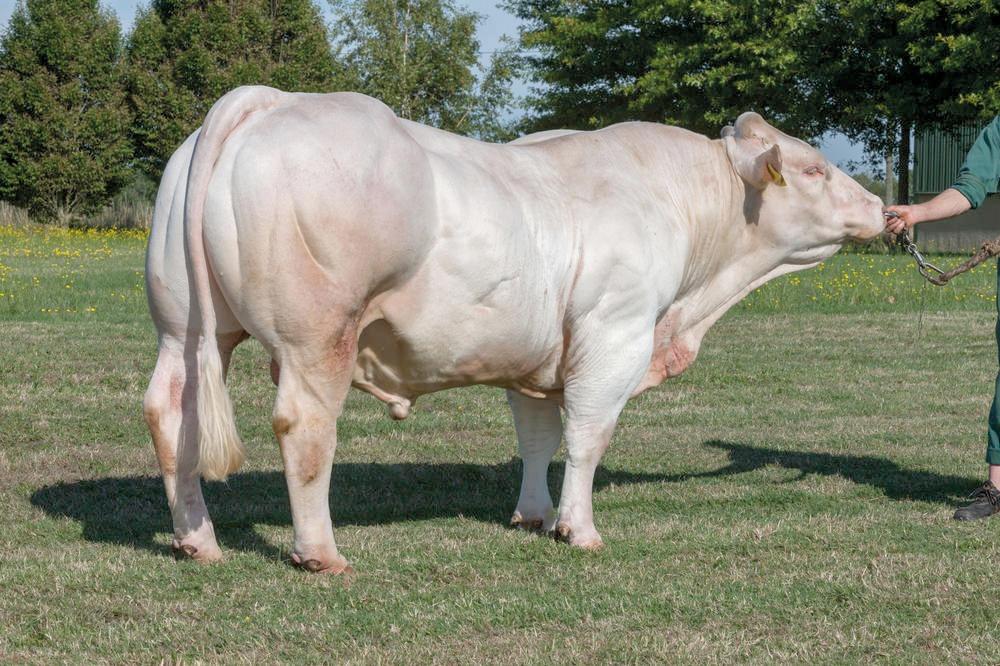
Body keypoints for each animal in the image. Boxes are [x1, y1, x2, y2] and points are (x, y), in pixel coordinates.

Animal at [143, 86, 885, 574]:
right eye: (815, 168)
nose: (883, 207)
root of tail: (269, 101)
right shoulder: (614, 335)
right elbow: (587, 437)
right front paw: (578, 529)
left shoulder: (536, 359)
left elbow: (537, 439)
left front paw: (534, 514)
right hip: (317, 336)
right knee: (304, 426)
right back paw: (320, 553)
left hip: (185, 330)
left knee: (170, 414)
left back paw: (197, 540)